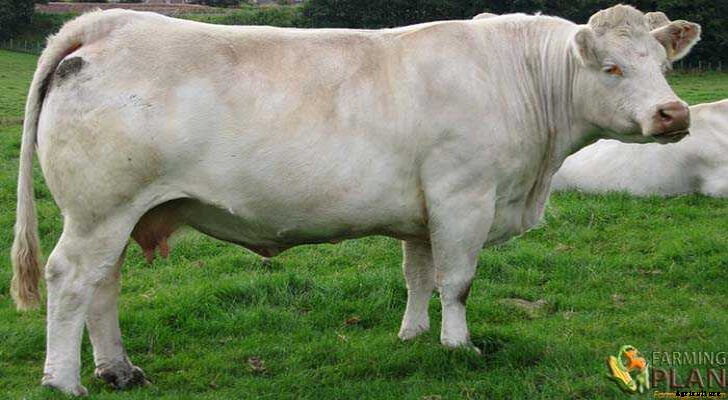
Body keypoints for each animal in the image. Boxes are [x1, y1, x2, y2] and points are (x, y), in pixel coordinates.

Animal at [11, 5, 700, 395]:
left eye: (663, 63)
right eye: (611, 68)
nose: (674, 114)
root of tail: (109, 23)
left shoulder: (426, 208)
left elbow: (419, 275)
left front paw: (414, 336)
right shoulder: (464, 196)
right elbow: (458, 282)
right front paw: (459, 347)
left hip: (116, 213)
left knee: (104, 284)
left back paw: (118, 371)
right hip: (100, 210)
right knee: (72, 280)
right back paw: (64, 381)